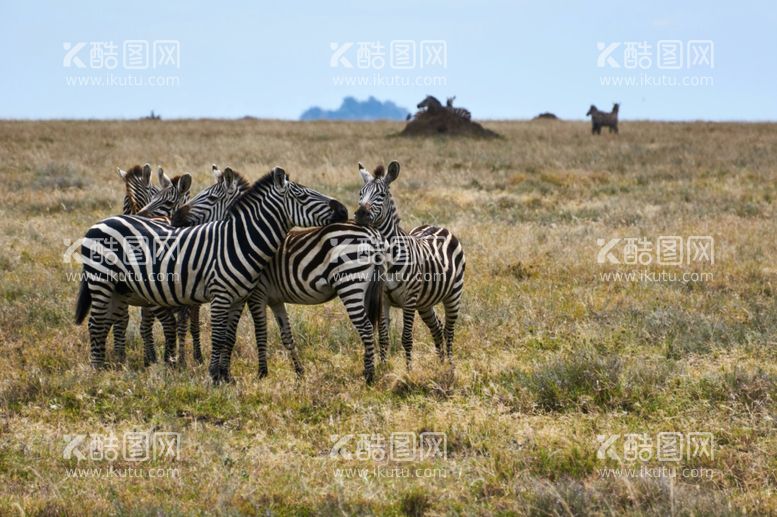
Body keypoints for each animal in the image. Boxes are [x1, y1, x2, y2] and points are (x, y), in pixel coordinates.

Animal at [76, 167, 348, 380]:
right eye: (303, 195)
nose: (344, 210)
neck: (238, 240)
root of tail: (101, 221)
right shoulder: (221, 295)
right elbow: (217, 337)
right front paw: (214, 375)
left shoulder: (238, 298)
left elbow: (229, 336)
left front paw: (226, 375)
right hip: (101, 282)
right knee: (95, 324)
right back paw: (97, 370)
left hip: (118, 289)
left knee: (110, 323)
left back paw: (112, 365)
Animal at [173, 165, 384, 382]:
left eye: (211, 197)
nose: (175, 217)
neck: (245, 239)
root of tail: (372, 233)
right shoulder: (275, 299)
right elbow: (286, 335)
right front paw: (299, 372)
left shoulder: (256, 295)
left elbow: (259, 332)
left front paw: (261, 373)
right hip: (368, 287)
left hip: (350, 283)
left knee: (366, 327)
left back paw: (369, 376)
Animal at [354, 161, 464, 366]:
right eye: (360, 193)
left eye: (381, 195)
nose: (360, 214)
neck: (389, 257)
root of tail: (438, 226)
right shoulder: (384, 300)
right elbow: (383, 338)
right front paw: (383, 367)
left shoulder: (409, 299)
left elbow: (406, 338)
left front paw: (408, 369)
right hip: (425, 302)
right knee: (437, 327)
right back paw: (441, 363)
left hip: (453, 295)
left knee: (449, 331)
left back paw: (450, 365)